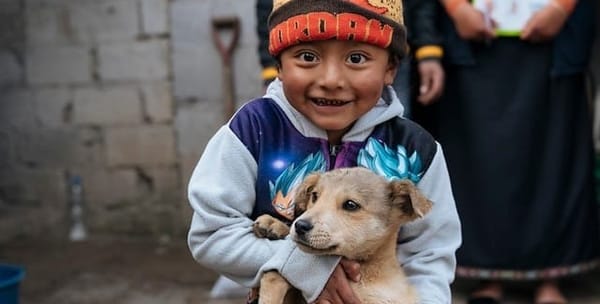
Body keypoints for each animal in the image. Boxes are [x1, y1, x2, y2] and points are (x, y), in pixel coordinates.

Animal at [253, 166, 432, 304]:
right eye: (315, 196)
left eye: (351, 205)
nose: (300, 226)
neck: (366, 269)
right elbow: (275, 280)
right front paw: (274, 224)